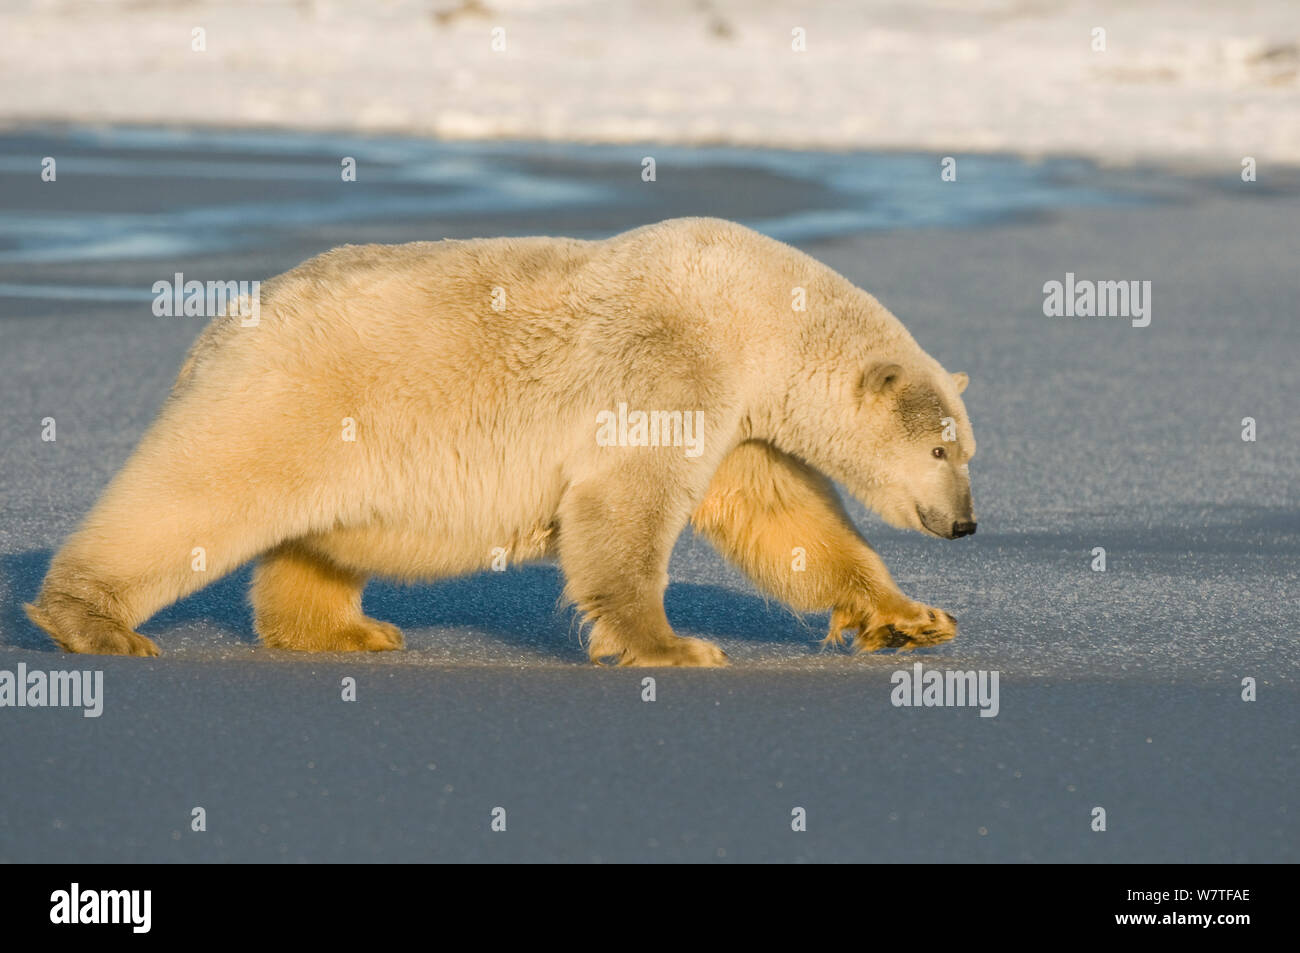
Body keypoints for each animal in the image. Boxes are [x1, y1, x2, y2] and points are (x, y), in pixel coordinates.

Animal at [25, 217, 977, 665]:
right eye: (939, 452)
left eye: (969, 450)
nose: (965, 523)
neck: (753, 310)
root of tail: (218, 326)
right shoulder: (674, 361)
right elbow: (624, 502)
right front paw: (674, 644)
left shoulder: (736, 411)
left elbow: (785, 517)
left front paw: (914, 619)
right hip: (284, 397)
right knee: (193, 495)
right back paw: (94, 621)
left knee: (313, 538)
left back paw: (349, 630)